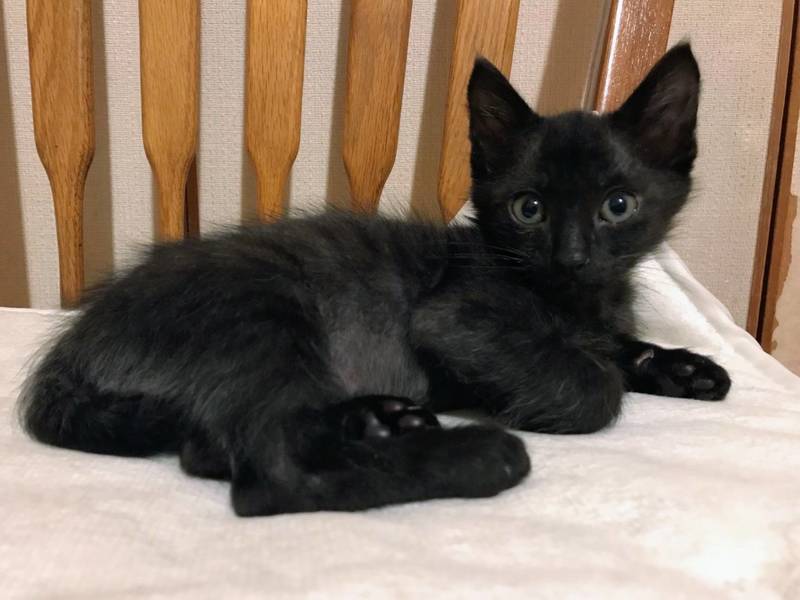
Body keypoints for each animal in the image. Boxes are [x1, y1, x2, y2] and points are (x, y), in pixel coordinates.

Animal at [19, 43, 730, 517]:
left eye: (619, 205)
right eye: (529, 209)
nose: (572, 256)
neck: (573, 299)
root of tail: (72, 348)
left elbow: (614, 345)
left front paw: (682, 366)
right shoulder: (455, 317)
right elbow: (592, 382)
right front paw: (585, 381)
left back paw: (379, 420)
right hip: (260, 311)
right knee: (262, 473)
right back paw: (474, 455)